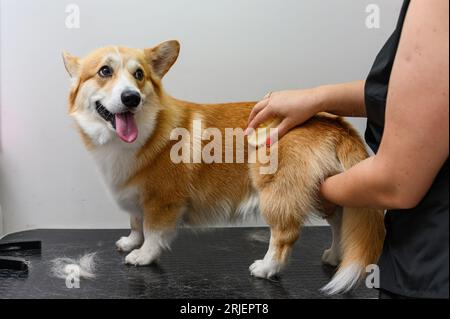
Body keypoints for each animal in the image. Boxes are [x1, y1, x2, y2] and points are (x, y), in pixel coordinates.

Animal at [63, 40, 384, 296]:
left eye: (139, 75)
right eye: (105, 71)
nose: (132, 98)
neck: (144, 131)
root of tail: (334, 124)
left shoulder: (162, 202)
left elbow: (153, 233)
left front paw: (142, 256)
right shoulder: (137, 197)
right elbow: (135, 222)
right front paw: (131, 242)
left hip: (276, 194)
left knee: (285, 235)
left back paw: (267, 267)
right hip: (323, 191)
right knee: (341, 220)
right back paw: (335, 255)